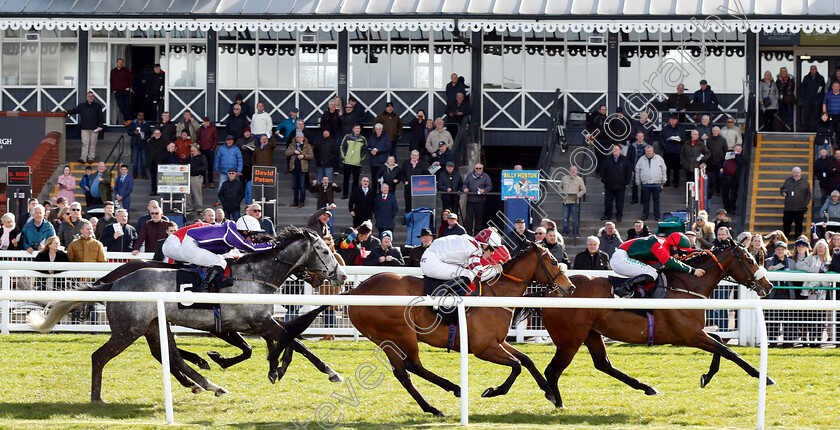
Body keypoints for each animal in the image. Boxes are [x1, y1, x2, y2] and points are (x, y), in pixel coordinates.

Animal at [27, 227, 346, 402]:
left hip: (153, 325)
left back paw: (205, 383)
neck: (256, 275)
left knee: (169, 355)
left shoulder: (255, 323)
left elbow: (283, 342)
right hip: (128, 330)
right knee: (100, 357)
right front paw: (331, 372)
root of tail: (114, 283)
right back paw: (98, 397)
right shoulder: (257, 322)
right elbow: (297, 343)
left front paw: (273, 368)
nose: (341, 276)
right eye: (324, 251)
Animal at [270, 244, 576, 414]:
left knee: (403, 373)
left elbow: (527, 360)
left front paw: (552, 394)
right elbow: (516, 366)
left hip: (384, 339)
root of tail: (355, 291)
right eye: (553, 262)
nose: (571, 287)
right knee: (413, 366)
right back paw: (453, 389)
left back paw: (433, 406)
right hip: (401, 333)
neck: (495, 293)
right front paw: (493, 391)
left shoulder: (498, 341)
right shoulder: (483, 347)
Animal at [540, 239, 776, 410]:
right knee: (552, 371)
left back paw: (646, 387)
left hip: (590, 333)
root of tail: (551, 292)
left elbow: (721, 343)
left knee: (603, 364)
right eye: (750, 261)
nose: (769, 286)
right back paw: (559, 404)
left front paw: (706, 377)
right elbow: (729, 352)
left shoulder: (694, 333)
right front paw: (764, 377)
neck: (686, 286)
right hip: (570, 340)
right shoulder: (690, 335)